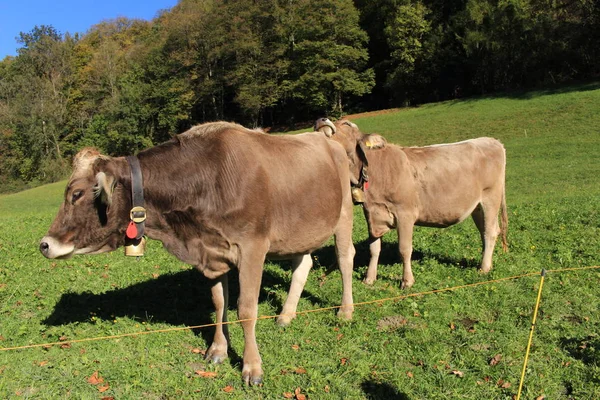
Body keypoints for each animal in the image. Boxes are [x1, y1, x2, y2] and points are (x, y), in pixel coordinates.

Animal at [38, 121, 356, 384]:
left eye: (76, 194)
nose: (44, 244)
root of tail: (326, 138)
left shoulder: (252, 247)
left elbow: (245, 310)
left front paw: (252, 367)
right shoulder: (210, 253)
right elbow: (219, 303)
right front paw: (217, 350)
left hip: (343, 213)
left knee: (345, 258)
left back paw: (345, 310)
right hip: (299, 229)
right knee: (303, 264)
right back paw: (286, 315)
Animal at [314, 117, 506, 290]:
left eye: (347, 123)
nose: (321, 119)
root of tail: (492, 141)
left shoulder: (405, 214)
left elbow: (404, 249)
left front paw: (407, 281)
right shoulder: (372, 214)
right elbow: (374, 248)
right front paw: (369, 278)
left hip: (491, 197)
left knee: (490, 232)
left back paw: (484, 268)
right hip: (476, 207)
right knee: (485, 231)